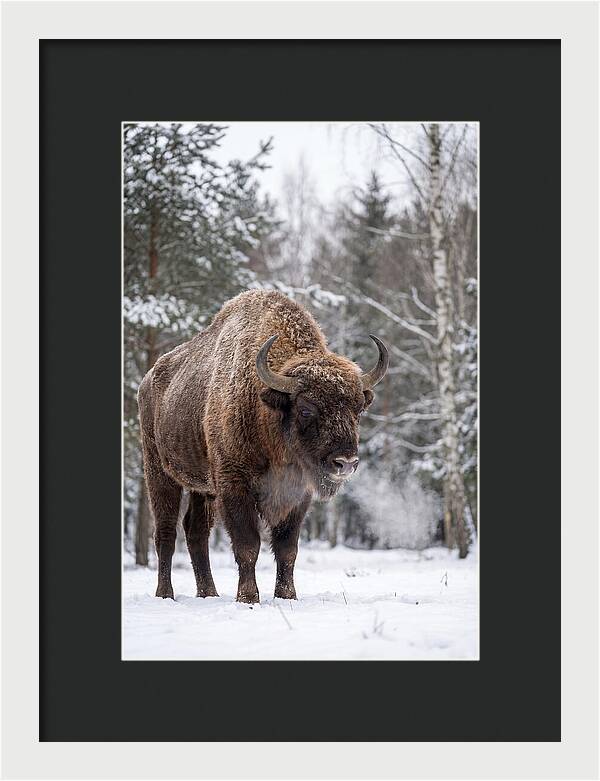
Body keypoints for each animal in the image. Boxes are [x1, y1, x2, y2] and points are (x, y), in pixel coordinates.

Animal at [138, 289, 388, 603]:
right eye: (306, 408)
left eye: (358, 409)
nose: (345, 463)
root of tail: (148, 381)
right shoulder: (234, 486)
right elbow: (248, 545)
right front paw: (248, 598)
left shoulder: (297, 494)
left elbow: (287, 548)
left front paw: (287, 596)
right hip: (159, 472)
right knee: (166, 533)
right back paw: (165, 594)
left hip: (202, 488)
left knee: (195, 532)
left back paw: (209, 594)